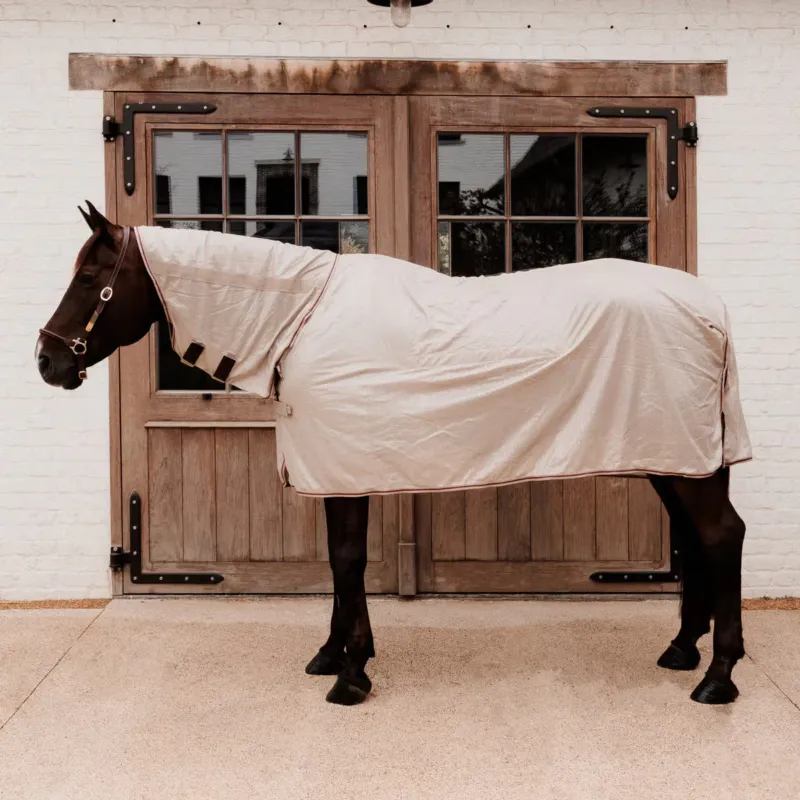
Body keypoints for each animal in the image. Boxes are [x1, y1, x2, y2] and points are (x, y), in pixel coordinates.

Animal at [36, 202, 749, 706]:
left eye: (91, 277)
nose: (47, 361)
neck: (300, 323)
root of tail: (711, 309)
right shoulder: (334, 470)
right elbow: (336, 561)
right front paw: (334, 654)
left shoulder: (345, 472)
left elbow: (349, 561)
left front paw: (350, 674)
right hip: (675, 459)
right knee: (695, 538)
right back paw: (682, 649)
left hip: (685, 462)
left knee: (721, 535)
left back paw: (717, 676)